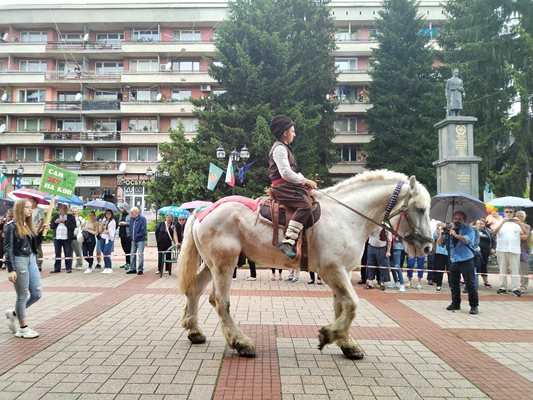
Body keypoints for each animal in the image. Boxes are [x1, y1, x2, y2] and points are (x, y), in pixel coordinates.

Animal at [177, 170, 434, 358]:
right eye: (420, 209)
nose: (428, 247)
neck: (346, 216)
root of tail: (203, 210)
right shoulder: (333, 270)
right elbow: (352, 304)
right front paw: (329, 334)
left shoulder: (340, 271)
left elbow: (342, 306)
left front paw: (346, 342)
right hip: (224, 264)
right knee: (221, 302)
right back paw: (241, 343)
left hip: (211, 264)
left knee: (195, 290)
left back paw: (195, 332)